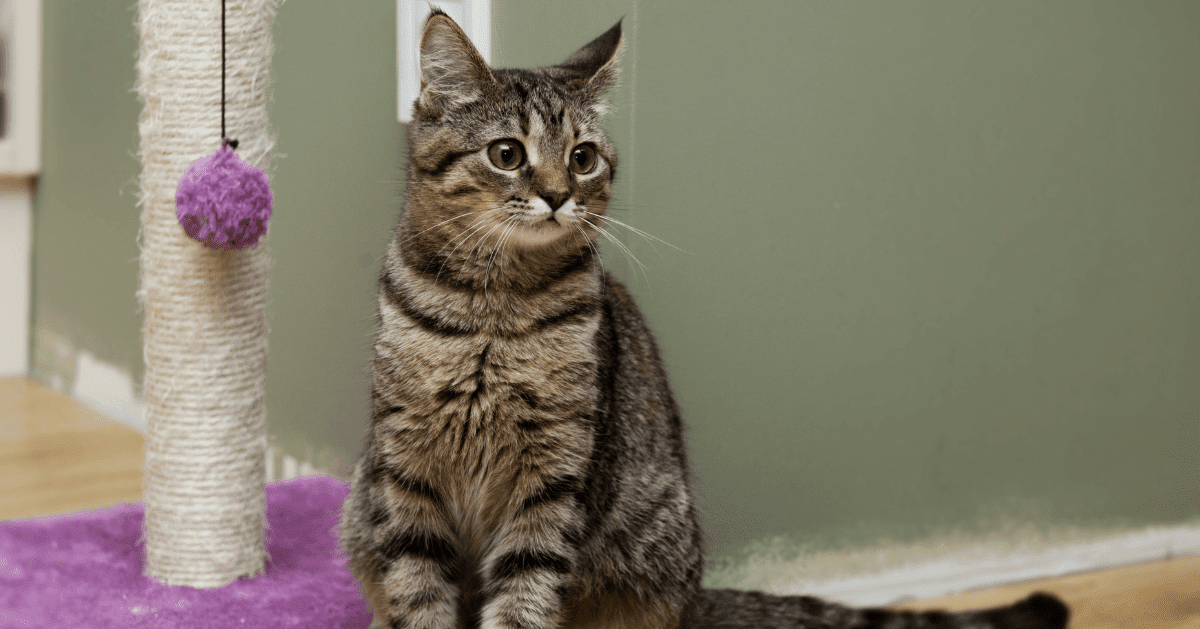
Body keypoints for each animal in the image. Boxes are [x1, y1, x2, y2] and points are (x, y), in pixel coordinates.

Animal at [343, 11, 1075, 629]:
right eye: (507, 154)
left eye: (582, 157)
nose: (557, 196)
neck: (491, 312)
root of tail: (697, 594)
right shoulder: (405, 471)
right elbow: (417, 594)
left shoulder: (555, 479)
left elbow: (524, 597)